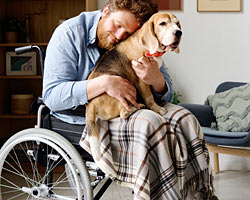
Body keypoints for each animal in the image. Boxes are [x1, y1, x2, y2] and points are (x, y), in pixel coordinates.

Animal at [85, 12, 181, 159]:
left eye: (177, 23)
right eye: (163, 23)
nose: (178, 32)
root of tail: (91, 105)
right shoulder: (142, 80)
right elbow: (149, 97)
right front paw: (157, 109)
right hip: (121, 96)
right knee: (124, 113)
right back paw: (137, 106)